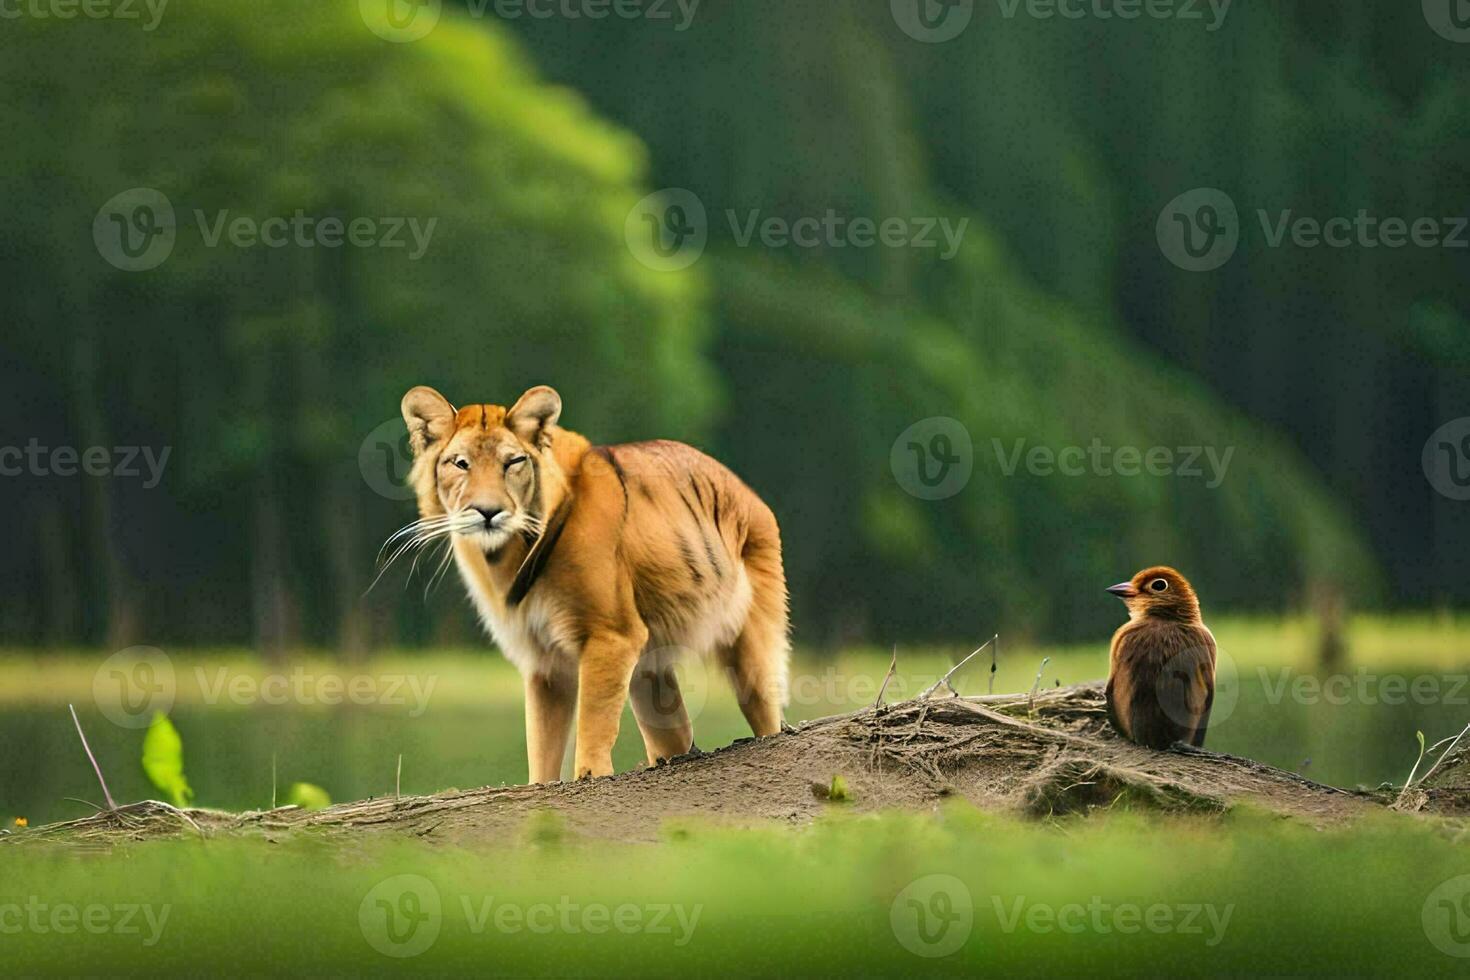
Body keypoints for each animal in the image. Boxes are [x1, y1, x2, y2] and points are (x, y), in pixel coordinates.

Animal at [388, 382, 782, 781]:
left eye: (512, 463)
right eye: (461, 463)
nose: (488, 512)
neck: (505, 557)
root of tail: (748, 491)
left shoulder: (611, 636)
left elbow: (593, 721)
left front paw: (591, 774)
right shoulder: (544, 663)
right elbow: (542, 746)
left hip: (751, 648)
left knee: (767, 713)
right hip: (651, 672)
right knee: (675, 733)